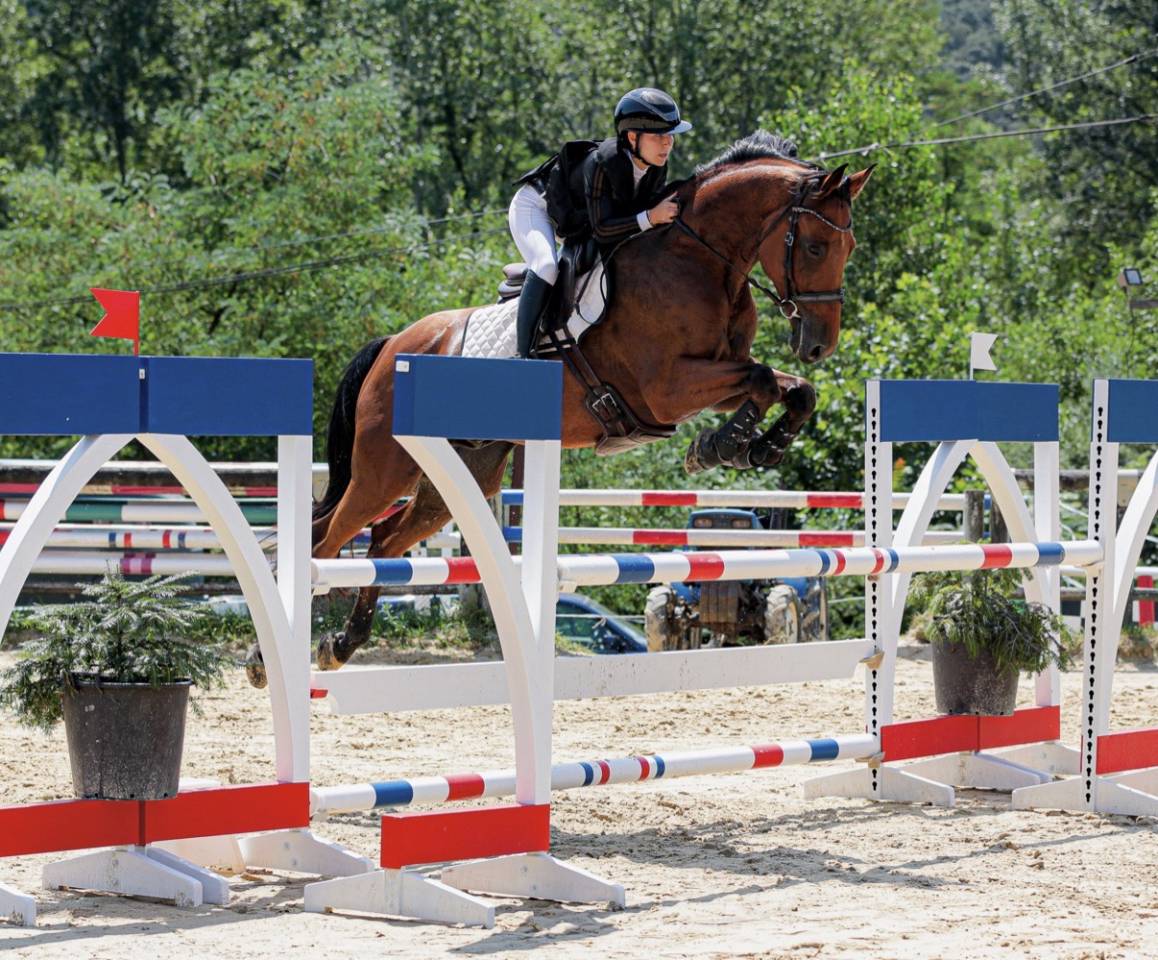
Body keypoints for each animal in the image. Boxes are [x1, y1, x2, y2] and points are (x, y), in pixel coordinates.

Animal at [245, 131, 872, 686]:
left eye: (850, 248)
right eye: (814, 246)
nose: (819, 345)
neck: (698, 258)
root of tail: (393, 345)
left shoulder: (713, 376)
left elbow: (792, 388)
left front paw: (756, 445)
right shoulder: (667, 386)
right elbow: (763, 380)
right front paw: (721, 445)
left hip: (458, 475)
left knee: (381, 541)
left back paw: (341, 645)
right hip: (383, 469)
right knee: (326, 544)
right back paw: (264, 659)